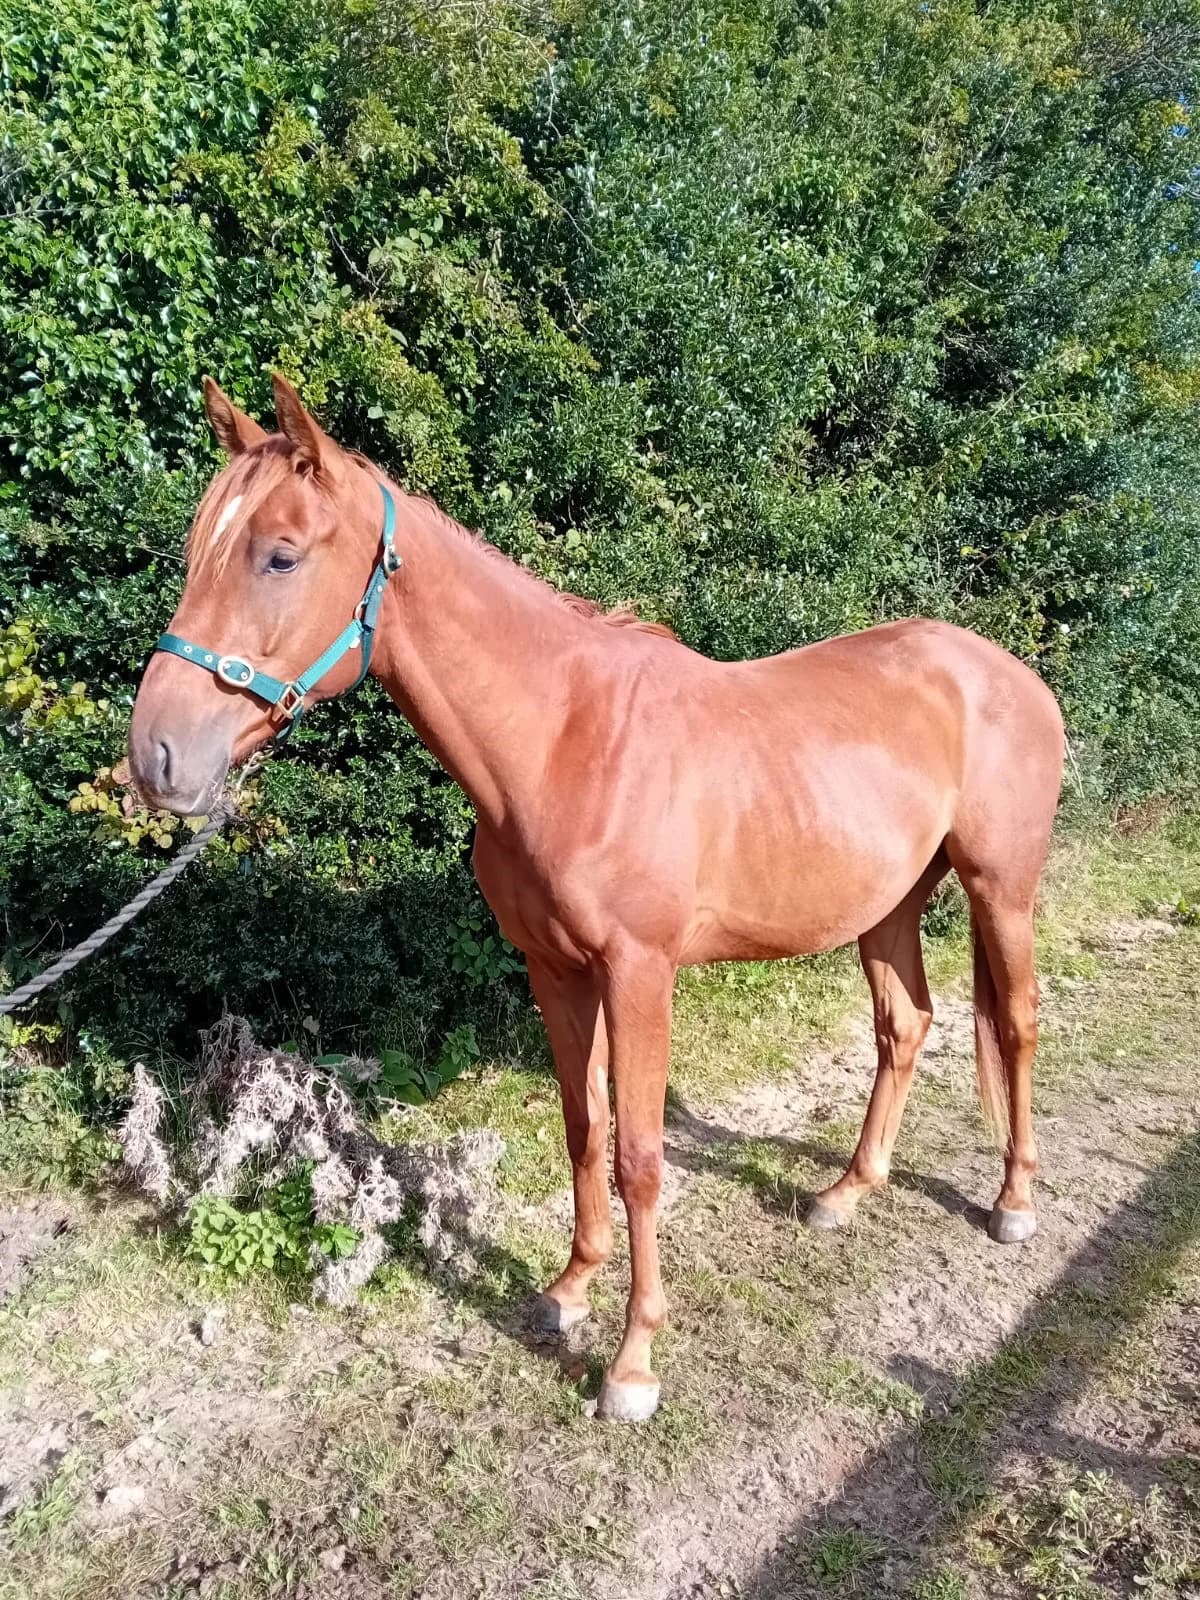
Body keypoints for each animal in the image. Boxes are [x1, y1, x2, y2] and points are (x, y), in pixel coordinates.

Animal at [128, 375, 1065, 1422]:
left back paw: (1014, 1202)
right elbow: (584, 1130)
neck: (565, 741)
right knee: (905, 1026)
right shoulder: (555, 970)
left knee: (1017, 1023)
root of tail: (1006, 672)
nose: (157, 757)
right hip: (888, 907)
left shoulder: (641, 974)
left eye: (281, 554)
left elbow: (641, 1157)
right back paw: (847, 1192)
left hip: (1001, 891)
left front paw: (633, 1362)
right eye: (197, 549)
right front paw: (569, 1290)